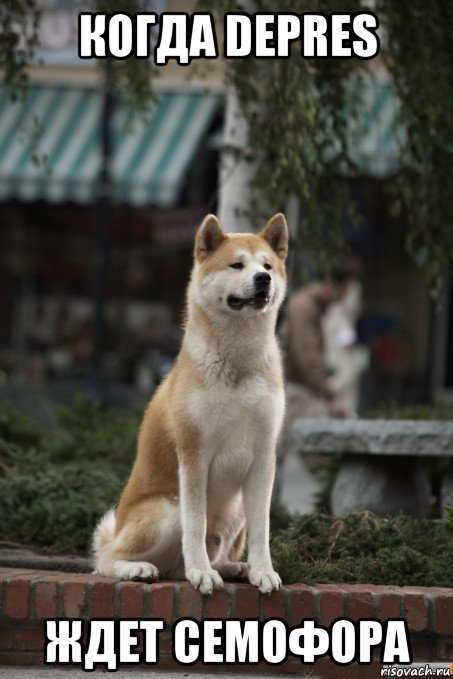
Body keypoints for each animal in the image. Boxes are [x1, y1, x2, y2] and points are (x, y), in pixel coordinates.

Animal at [93, 212, 288, 596]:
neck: (237, 364)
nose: (263, 279)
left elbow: (262, 530)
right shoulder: (194, 454)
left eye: (268, 266)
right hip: (167, 508)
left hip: (236, 509)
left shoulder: (263, 457)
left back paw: (235, 568)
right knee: (108, 560)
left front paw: (263, 571)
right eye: (237, 264)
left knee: (203, 558)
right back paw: (142, 568)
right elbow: (195, 526)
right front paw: (201, 573)